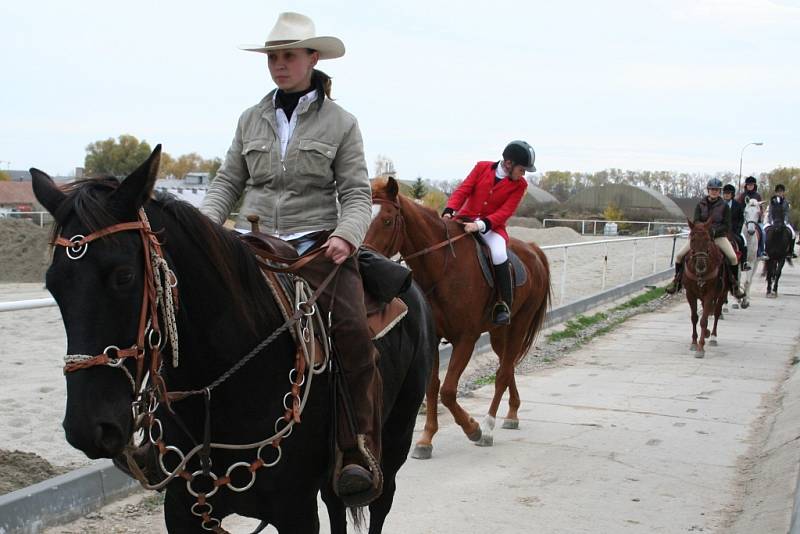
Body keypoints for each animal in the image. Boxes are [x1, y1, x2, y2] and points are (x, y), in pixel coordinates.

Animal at [31, 148, 434, 534]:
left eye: (124, 276)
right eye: (52, 284)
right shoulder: (183, 513)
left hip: (392, 446)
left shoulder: (296, 513)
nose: (87, 428)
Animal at [368, 178, 552, 458]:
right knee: (507, 366)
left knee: (502, 373)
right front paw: (426, 439)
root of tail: (532, 249)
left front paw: (472, 428)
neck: (442, 265)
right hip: (499, 333)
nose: (363, 256)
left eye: (387, 220)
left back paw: (488, 427)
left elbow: (448, 391)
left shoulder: (466, 338)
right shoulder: (433, 338)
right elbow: (432, 387)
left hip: (519, 325)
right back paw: (512, 413)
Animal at [680, 220, 728, 358]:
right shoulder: (690, 294)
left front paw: (700, 347)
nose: (701, 265)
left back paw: (713, 337)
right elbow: (694, 317)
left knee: (716, 313)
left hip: (722, 293)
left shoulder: (710, 294)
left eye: (707, 239)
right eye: (692, 239)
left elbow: (704, 320)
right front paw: (694, 342)